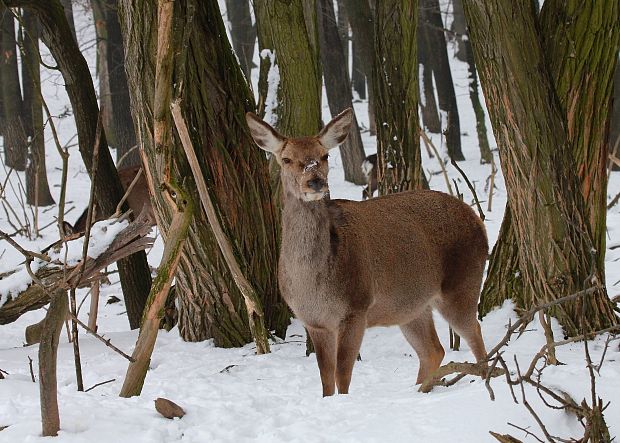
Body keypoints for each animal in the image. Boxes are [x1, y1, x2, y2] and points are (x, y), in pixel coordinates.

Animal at [245, 108, 486, 398]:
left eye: (324, 155)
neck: (313, 285)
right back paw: (420, 390)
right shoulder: (313, 321)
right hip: (411, 305)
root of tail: (478, 221)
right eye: (286, 158)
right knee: (433, 350)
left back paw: (485, 380)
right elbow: (325, 378)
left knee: (474, 333)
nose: (315, 181)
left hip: (462, 283)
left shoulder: (356, 307)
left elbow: (342, 374)